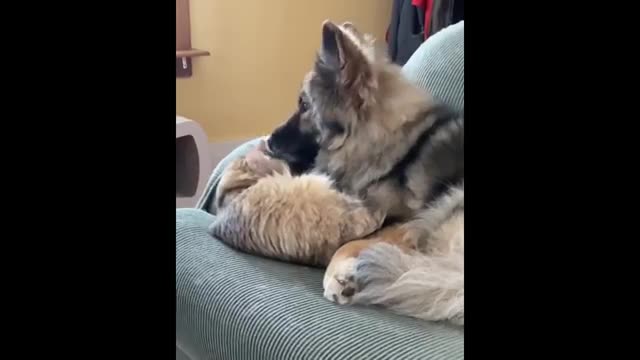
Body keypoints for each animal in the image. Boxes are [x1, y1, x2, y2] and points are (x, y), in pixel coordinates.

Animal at [268, 21, 462, 326]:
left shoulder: (407, 223)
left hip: (449, 202)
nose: (268, 141)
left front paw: (339, 276)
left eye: (304, 105)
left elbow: (350, 244)